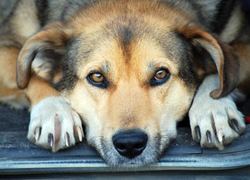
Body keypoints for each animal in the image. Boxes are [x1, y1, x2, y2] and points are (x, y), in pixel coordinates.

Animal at [0, 0, 249, 167]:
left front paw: (213, 109)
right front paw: (53, 112)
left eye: (160, 74)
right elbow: (27, 76)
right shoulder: (6, 48)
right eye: (97, 77)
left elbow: (225, 68)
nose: (130, 144)